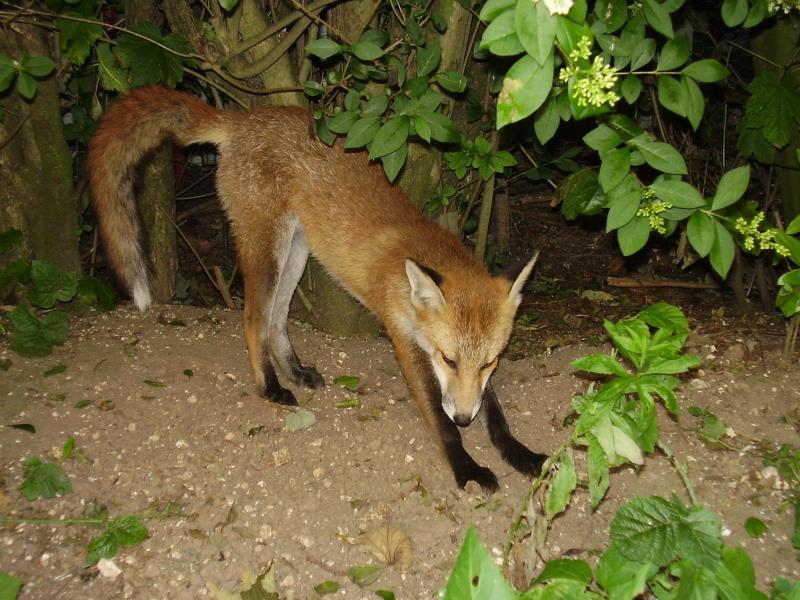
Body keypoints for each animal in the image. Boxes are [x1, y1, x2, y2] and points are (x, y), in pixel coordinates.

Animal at [89, 85, 552, 492]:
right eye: (448, 359)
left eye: (491, 361)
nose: (464, 419)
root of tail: (243, 118)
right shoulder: (403, 339)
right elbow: (440, 422)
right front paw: (467, 468)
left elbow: (497, 415)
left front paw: (520, 454)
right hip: (267, 250)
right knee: (253, 318)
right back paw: (271, 388)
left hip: (297, 251)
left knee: (276, 320)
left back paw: (295, 372)